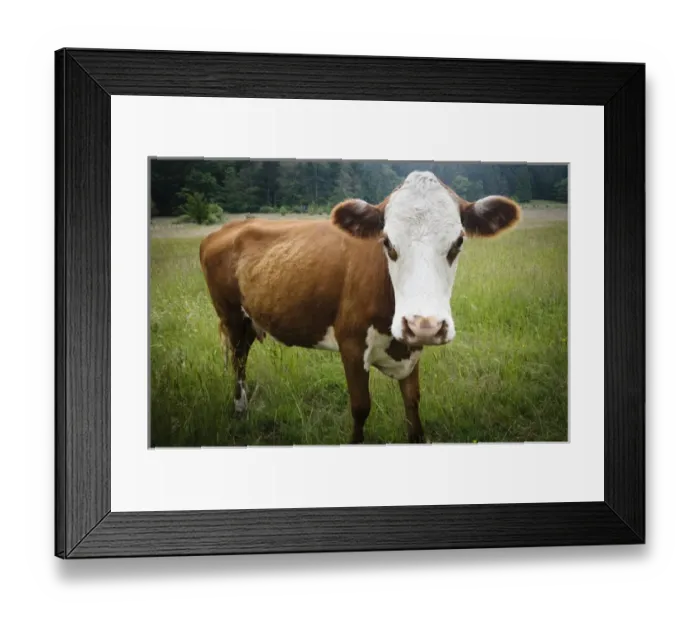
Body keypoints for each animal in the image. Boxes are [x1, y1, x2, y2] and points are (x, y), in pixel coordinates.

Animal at [199, 171, 521, 444]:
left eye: (458, 241)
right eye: (387, 242)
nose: (424, 325)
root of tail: (228, 228)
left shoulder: (410, 347)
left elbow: (413, 402)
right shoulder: (351, 344)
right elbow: (360, 407)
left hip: (249, 320)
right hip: (230, 315)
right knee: (238, 359)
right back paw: (240, 408)